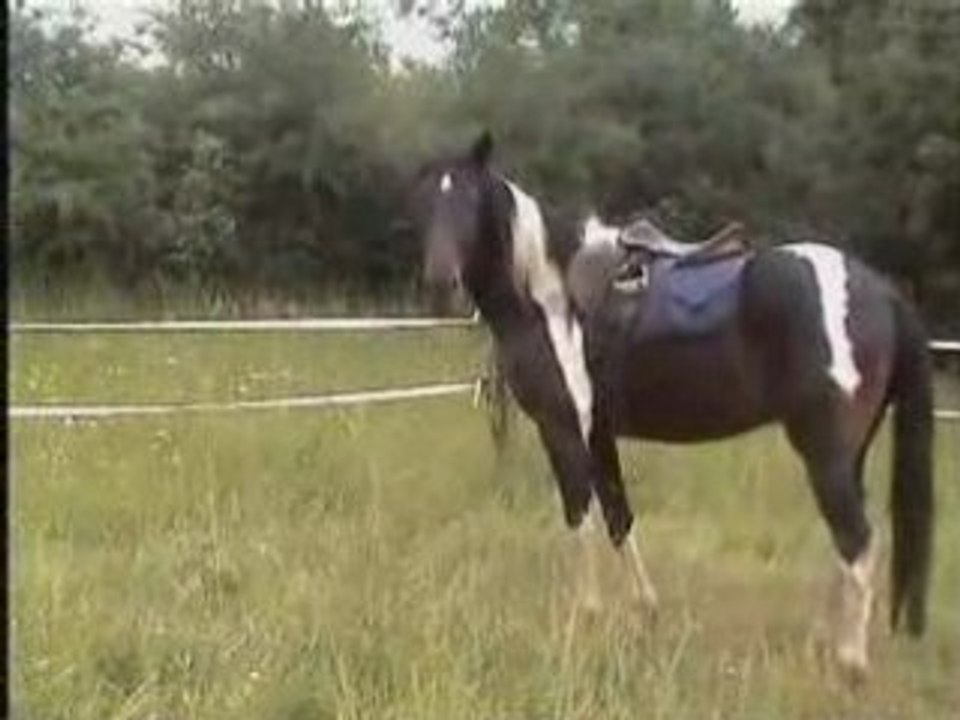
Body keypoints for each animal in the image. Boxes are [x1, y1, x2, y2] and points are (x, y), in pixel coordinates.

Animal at [406, 131, 934, 680]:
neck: (548, 296)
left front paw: (583, 619)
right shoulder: (599, 432)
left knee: (857, 540)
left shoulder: (563, 428)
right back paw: (824, 643)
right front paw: (644, 611)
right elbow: (618, 518)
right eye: (421, 203)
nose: (440, 283)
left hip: (824, 452)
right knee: (848, 542)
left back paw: (850, 664)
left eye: (470, 199)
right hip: (848, 452)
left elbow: (580, 519)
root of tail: (882, 293)